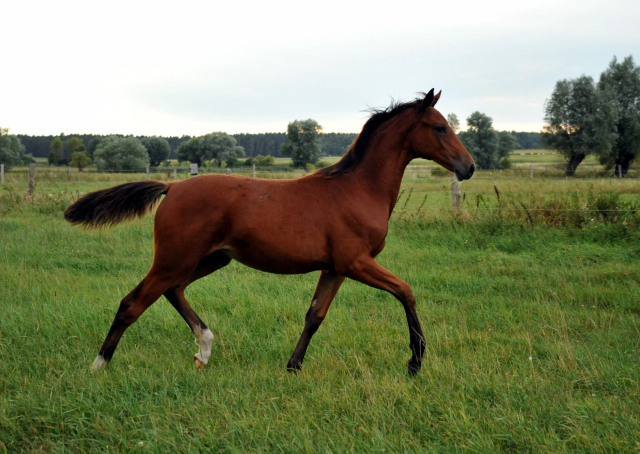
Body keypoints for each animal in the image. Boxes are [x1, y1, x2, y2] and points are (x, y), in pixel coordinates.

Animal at [65, 89, 476, 376]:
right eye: (440, 127)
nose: (469, 166)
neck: (358, 189)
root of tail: (173, 187)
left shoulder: (335, 268)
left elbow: (314, 316)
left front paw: (293, 367)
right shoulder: (356, 262)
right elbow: (406, 292)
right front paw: (415, 362)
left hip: (209, 259)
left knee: (173, 290)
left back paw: (204, 349)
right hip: (175, 258)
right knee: (133, 303)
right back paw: (99, 366)